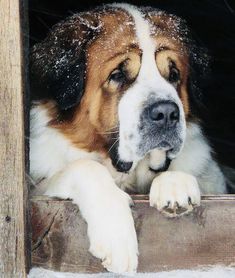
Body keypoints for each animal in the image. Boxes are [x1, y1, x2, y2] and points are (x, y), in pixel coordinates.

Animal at [28, 2, 226, 274]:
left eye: (173, 74)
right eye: (118, 75)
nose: (166, 113)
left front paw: (175, 185)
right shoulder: (38, 184)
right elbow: (85, 167)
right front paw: (116, 237)